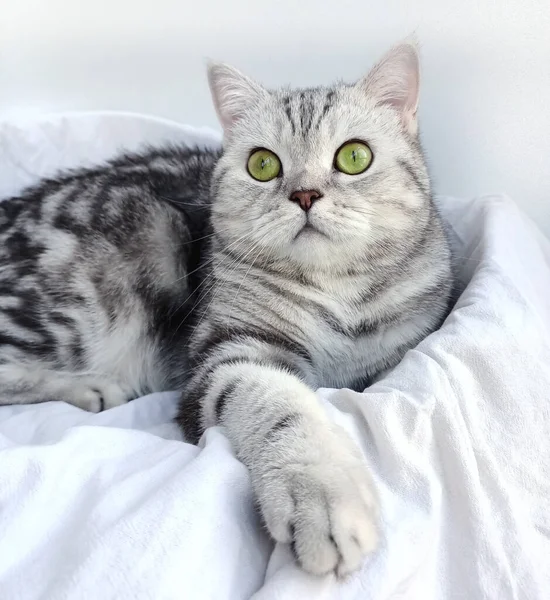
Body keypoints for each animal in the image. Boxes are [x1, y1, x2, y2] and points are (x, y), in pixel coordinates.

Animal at [0, 42, 452, 576]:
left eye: (354, 156)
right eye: (263, 165)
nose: (304, 194)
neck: (338, 293)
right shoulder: (227, 353)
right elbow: (279, 402)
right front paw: (324, 494)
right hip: (95, 290)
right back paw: (90, 388)